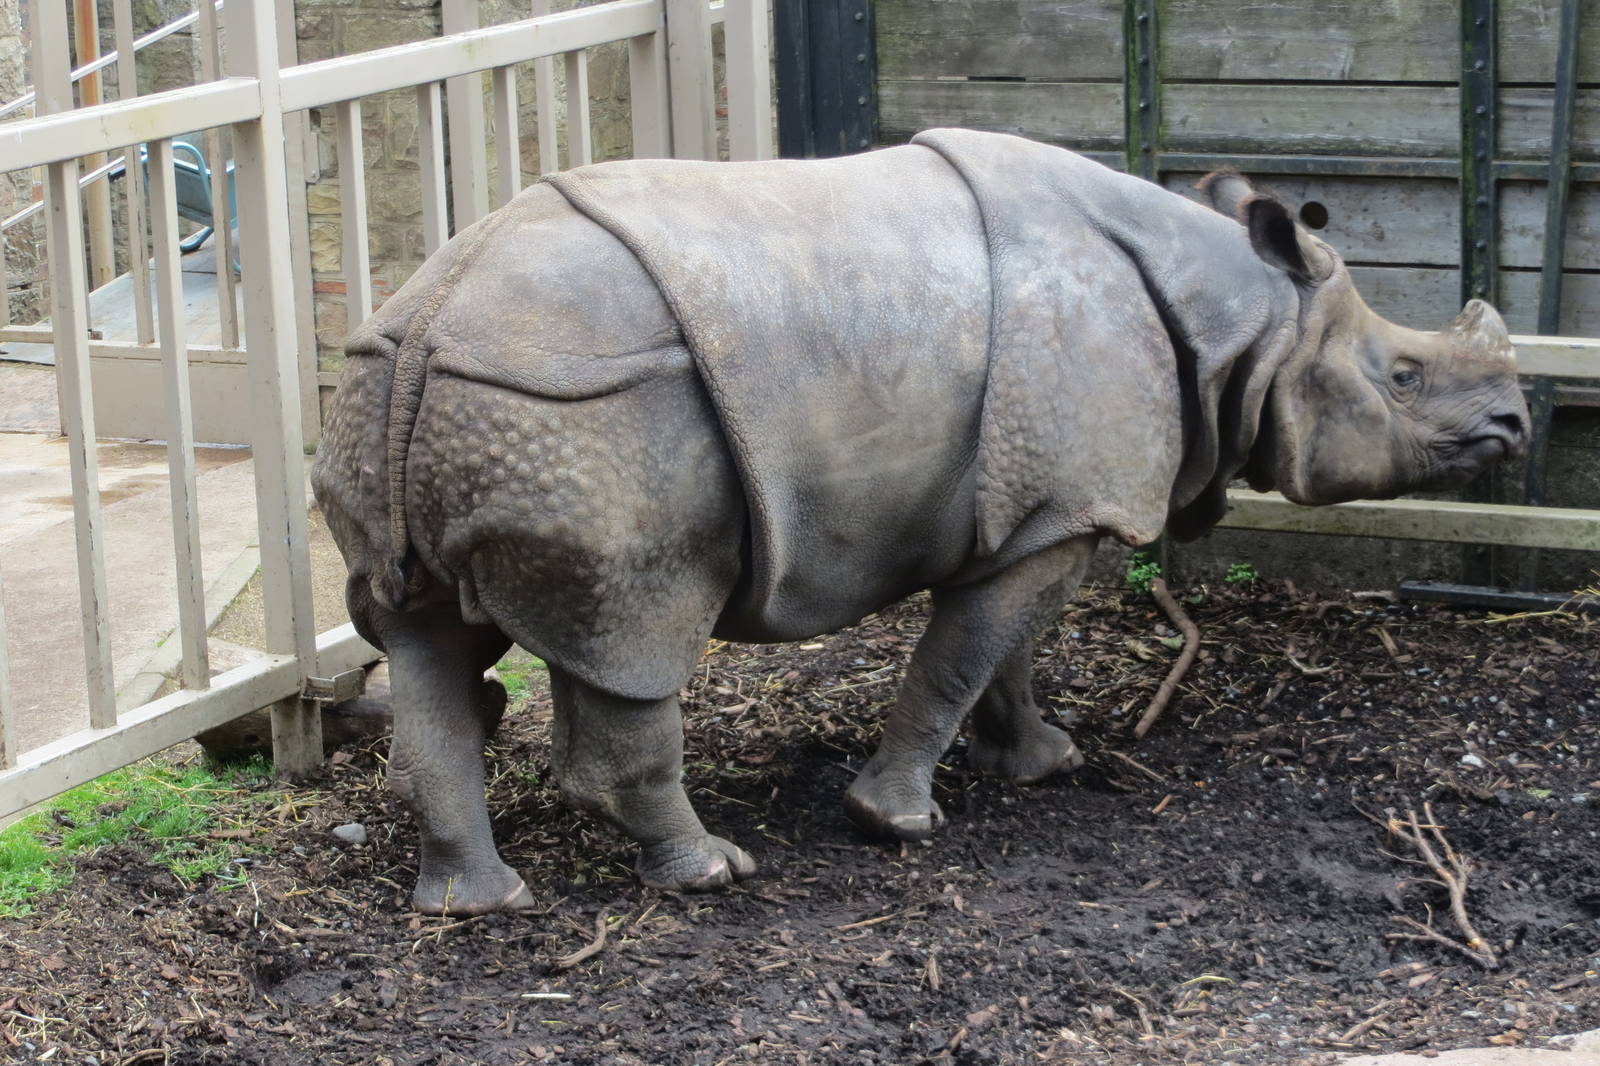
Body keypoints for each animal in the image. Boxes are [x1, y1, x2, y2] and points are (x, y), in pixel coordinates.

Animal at [311, 129, 1528, 915]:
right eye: (1405, 376)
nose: (1516, 423)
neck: (1250, 319)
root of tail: (432, 315)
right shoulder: (1061, 505)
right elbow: (960, 653)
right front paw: (892, 822)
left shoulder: (1039, 513)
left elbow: (1007, 648)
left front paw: (1039, 761)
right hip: (587, 414)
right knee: (637, 632)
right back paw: (715, 874)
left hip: (418, 396)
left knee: (435, 641)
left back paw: (474, 905)